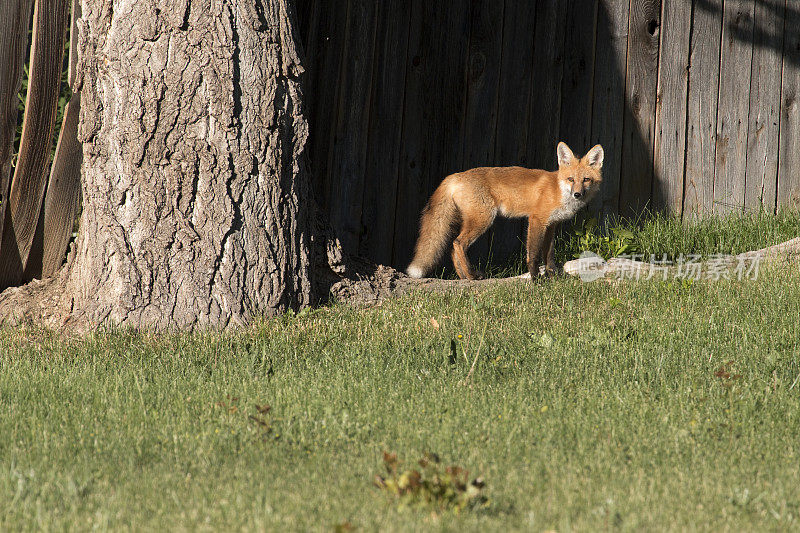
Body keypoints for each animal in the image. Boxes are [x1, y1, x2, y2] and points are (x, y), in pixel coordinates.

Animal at [406, 143, 600, 280]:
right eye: (571, 179)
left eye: (586, 180)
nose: (577, 194)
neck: (558, 190)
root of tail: (455, 175)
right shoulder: (536, 219)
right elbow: (534, 254)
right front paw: (536, 279)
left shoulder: (552, 225)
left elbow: (549, 255)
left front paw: (553, 277)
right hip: (483, 219)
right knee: (458, 243)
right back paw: (471, 275)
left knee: (453, 248)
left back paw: (463, 277)